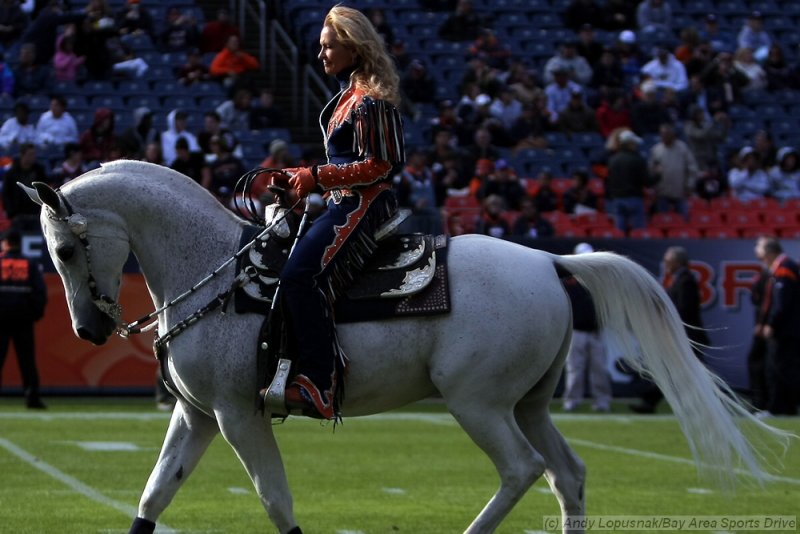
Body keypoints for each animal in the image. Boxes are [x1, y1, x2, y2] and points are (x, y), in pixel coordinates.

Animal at [23, 160, 788, 534]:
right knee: (566, 474)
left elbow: (275, 500)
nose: (89, 332)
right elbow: (154, 497)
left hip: (479, 404)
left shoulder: (238, 415)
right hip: (531, 403)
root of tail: (548, 262)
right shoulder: (198, 415)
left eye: (63, 249)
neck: (214, 267)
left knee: (522, 470)